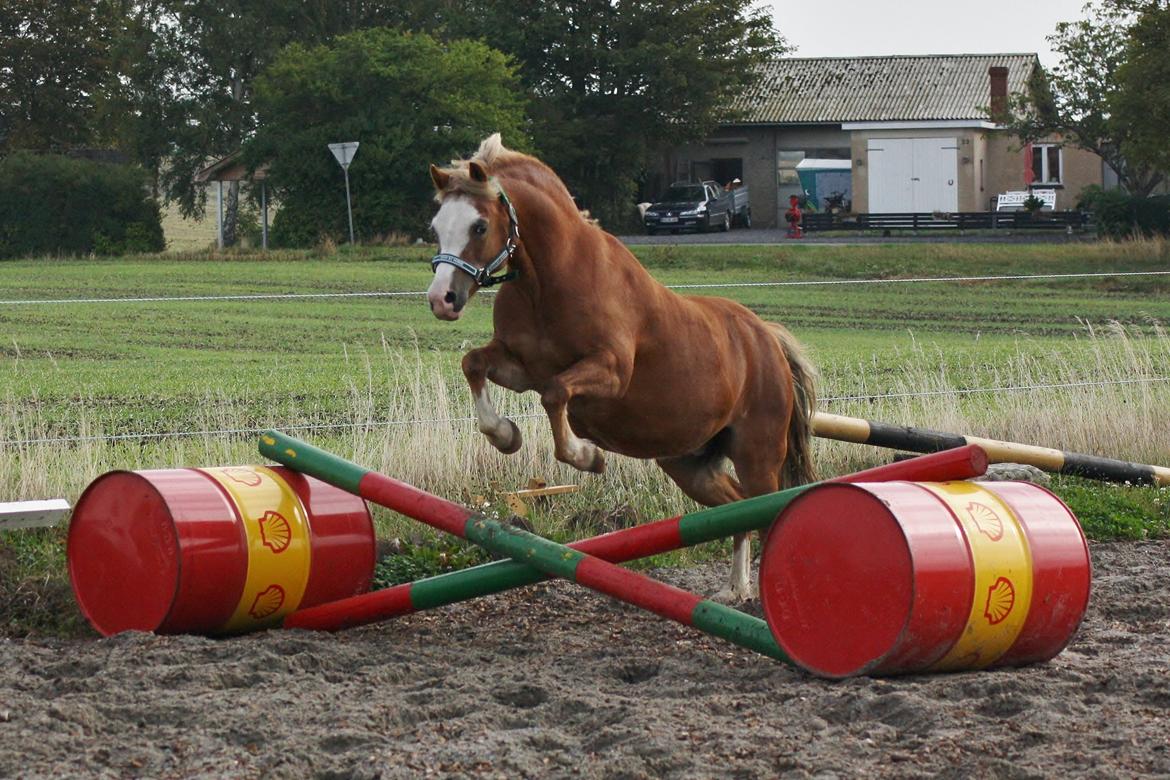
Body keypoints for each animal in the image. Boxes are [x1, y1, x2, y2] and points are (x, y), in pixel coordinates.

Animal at [425, 134, 819, 603]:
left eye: (480, 226)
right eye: (436, 227)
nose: (441, 299)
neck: (547, 279)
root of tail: (767, 338)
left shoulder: (610, 373)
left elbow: (556, 393)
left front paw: (587, 456)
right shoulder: (520, 367)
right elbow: (474, 364)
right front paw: (505, 435)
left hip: (757, 454)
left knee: (762, 512)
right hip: (688, 463)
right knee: (735, 505)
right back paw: (735, 589)